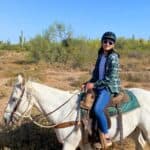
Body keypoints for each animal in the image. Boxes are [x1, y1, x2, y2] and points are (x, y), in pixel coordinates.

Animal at [2, 75, 150, 150]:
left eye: (14, 99)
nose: (5, 118)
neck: (64, 111)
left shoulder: (69, 144)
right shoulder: (85, 144)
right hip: (135, 130)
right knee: (140, 144)